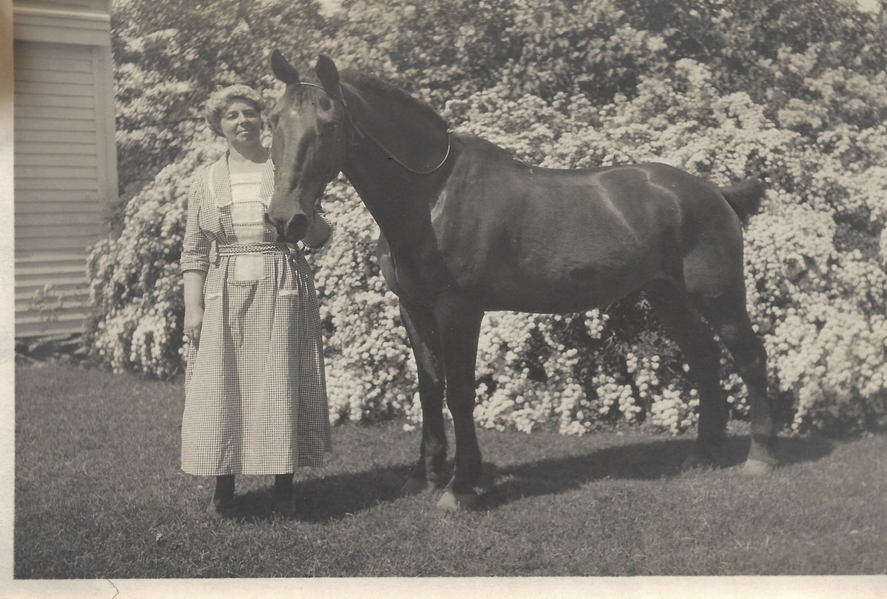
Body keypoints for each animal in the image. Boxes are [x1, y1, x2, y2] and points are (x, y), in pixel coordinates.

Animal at [265, 52, 777, 510]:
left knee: (750, 358)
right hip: (667, 294)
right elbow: (429, 388)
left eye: (330, 125)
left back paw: (759, 457)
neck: (431, 195)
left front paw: (461, 488)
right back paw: (702, 453)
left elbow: (460, 392)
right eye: (273, 122)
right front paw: (427, 476)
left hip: (719, 295)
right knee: (705, 360)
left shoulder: (459, 309)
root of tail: (712, 191)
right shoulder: (413, 307)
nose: (286, 219)